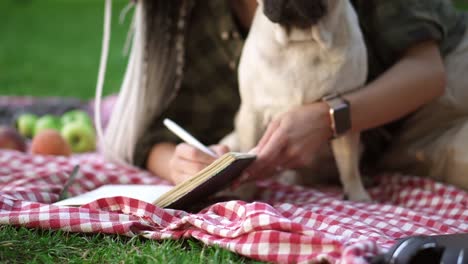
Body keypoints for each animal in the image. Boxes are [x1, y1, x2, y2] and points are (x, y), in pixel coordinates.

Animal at [221, 0, 372, 201]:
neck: (302, 41)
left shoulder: (345, 120)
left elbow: (349, 166)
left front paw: (357, 196)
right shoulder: (253, 114)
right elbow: (248, 162)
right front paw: (244, 193)